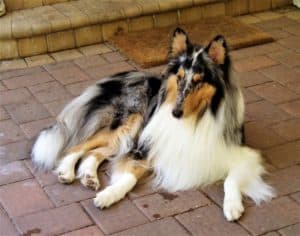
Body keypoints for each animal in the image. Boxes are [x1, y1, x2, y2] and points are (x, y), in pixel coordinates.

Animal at [31, 27, 274, 221]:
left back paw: (89, 177)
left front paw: (232, 207)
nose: (176, 113)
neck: (195, 118)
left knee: (95, 152)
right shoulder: (147, 147)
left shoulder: (241, 153)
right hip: (129, 123)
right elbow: (129, 176)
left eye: (198, 81)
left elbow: (230, 179)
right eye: (180, 77)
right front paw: (109, 195)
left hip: (125, 136)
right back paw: (66, 172)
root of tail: (115, 78)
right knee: (78, 145)